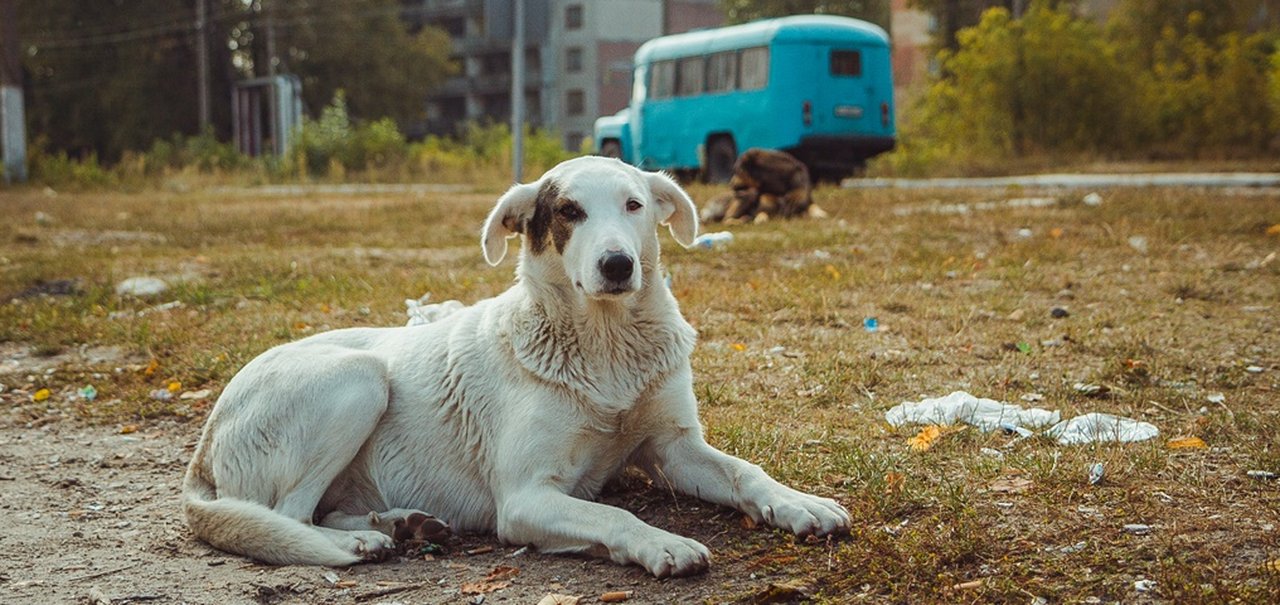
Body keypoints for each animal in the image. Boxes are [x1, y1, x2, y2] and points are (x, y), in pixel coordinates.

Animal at [185, 155, 849, 575]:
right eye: (569, 212)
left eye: (634, 205)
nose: (617, 265)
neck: (605, 346)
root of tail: (205, 441)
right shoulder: (527, 497)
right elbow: (612, 512)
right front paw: (661, 542)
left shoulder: (675, 446)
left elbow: (745, 473)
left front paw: (800, 503)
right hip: (358, 379)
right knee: (286, 516)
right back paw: (363, 544)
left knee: (325, 508)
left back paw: (402, 524)